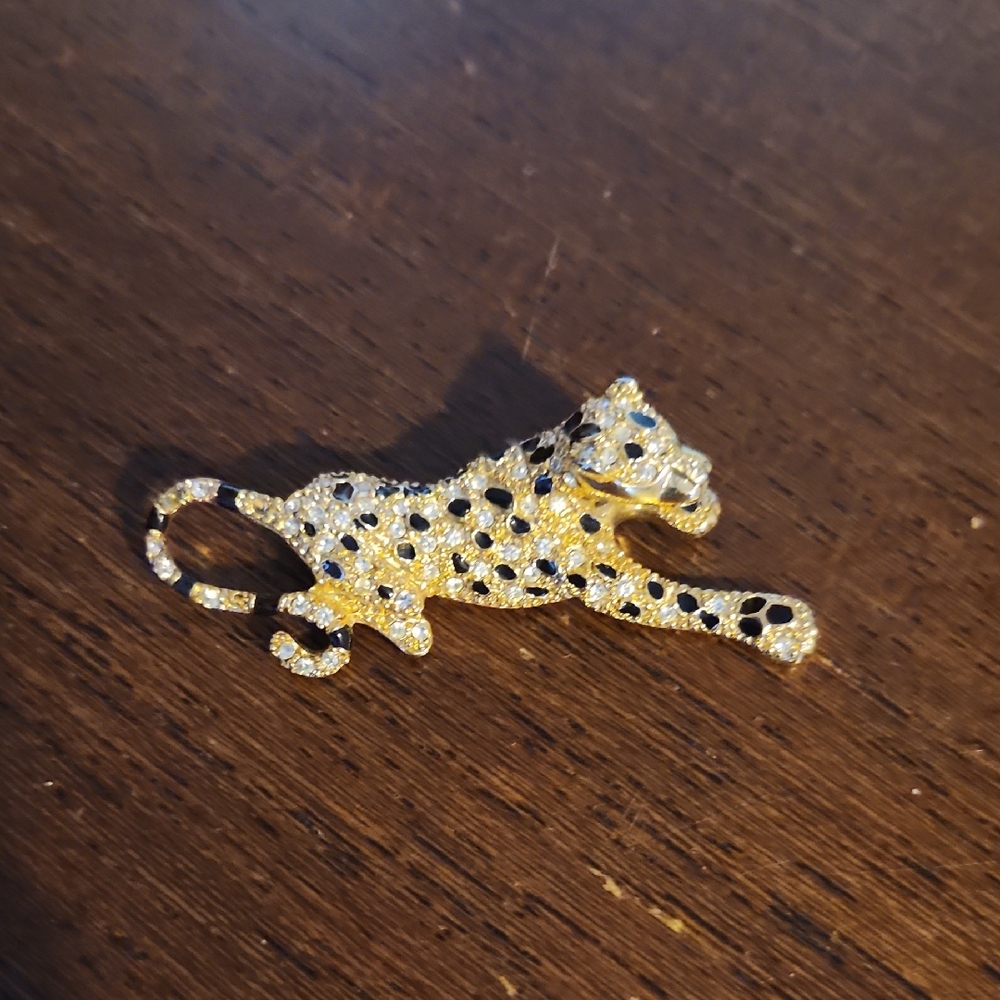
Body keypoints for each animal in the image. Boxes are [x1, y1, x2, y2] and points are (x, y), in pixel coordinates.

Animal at [145, 376, 817, 677]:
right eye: (636, 459)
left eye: (663, 435)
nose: (698, 470)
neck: (562, 463)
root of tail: (288, 509)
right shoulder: (609, 584)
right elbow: (686, 600)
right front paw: (782, 624)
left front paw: (699, 502)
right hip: (375, 586)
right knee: (335, 610)